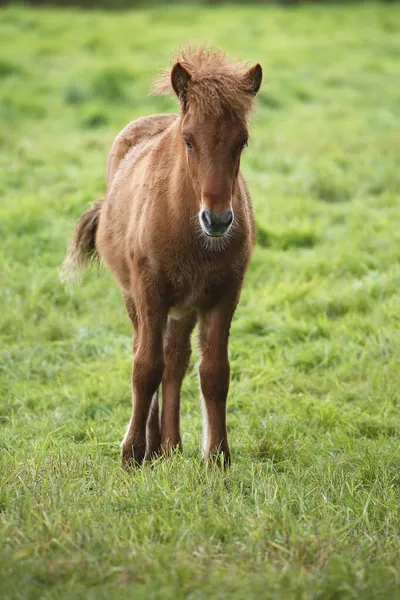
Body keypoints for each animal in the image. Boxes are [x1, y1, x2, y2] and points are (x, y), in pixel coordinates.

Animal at [61, 47, 262, 468]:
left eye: (242, 142)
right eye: (188, 141)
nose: (218, 220)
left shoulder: (223, 296)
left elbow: (214, 373)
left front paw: (218, 457)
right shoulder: (149, 290)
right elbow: (145, 367)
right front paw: (132, 453)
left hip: (184, 307)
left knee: (176, 360)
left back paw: (169, 446)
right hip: (134, 296)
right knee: (151, 353)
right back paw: (153, 448)